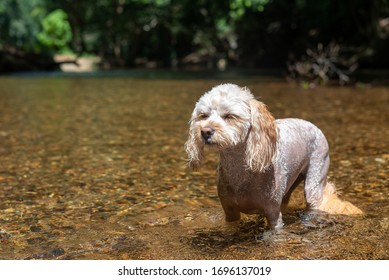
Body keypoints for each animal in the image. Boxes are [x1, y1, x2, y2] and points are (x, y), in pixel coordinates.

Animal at [184, 84, 360, 229]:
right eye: (203, 115)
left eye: (230, 116)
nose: (205, 131)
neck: (241, 169)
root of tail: (314, 125)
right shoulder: (230, 211)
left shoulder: (273, 213)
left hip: (315, 179)